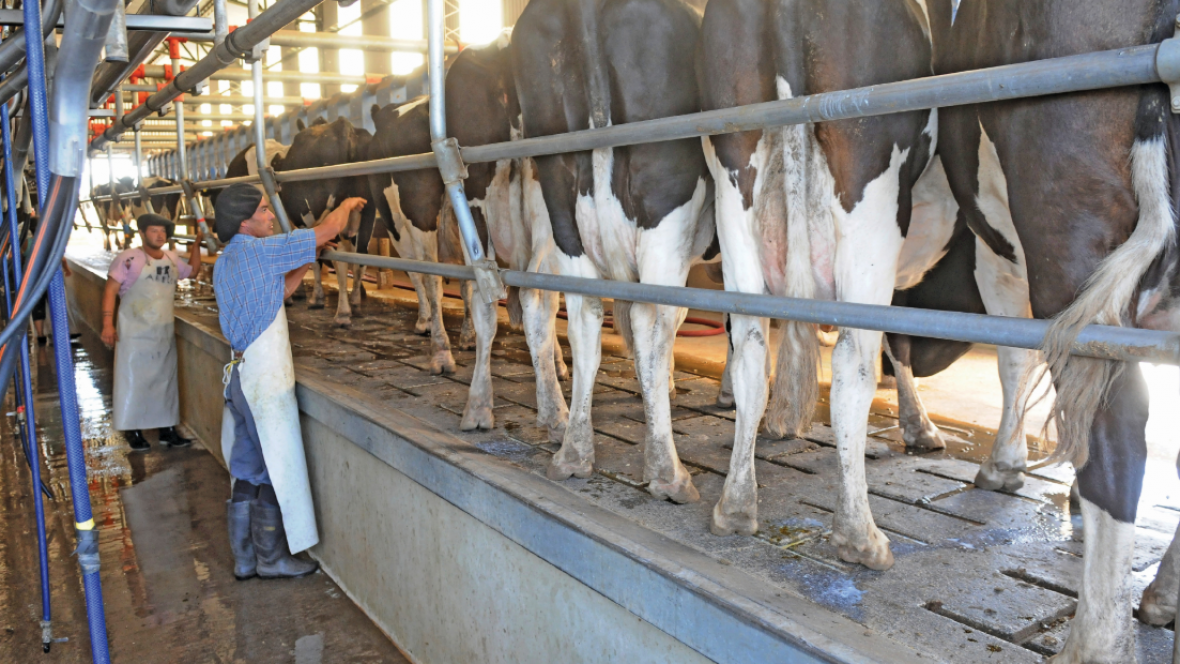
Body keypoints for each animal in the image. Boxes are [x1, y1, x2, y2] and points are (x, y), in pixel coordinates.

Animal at [270, 119, 375, 330]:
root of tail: (344, 127)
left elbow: (314, 260)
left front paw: (315, 298)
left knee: (341, 260)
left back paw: (342, 314)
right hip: (368, 214)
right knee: (360, 258)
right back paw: (355, 304)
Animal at [512, 0, 712, 504]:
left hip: (560, 210)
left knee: (574, 312)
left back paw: (570, 446)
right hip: (665, 203)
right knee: (652, 320)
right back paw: (667, 472)